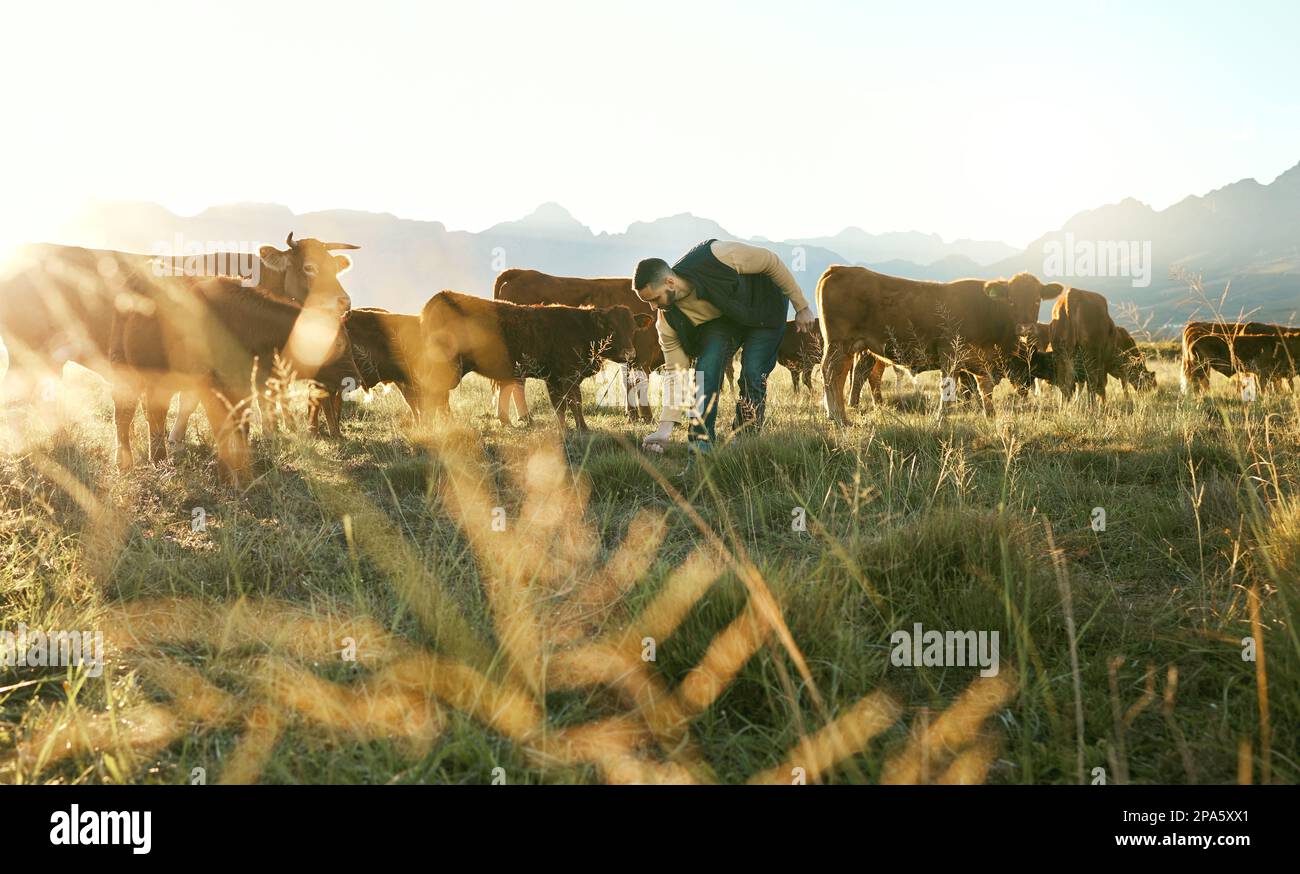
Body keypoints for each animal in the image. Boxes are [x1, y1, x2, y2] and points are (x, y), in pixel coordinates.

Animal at [109, 278, 356, 483]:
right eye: (338, 344)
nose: (354, 378)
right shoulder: (210, 387)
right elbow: (221, 428)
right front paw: (228, 478)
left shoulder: (242, 388)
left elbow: (240, 427)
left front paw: (242, 473)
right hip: (126, 373)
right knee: (124, 416)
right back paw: (126, 463)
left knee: (154, 414)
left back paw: (159, 459)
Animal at [416, 291, 639, 431]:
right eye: (612, 328)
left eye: (633, 329)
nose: (630, 353)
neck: (582, 328)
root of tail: (440, 297)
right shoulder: (561, 377)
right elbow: (569, 403)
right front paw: (574, 429)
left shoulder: (564, 378)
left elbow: (570, 403)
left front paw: (577, 428)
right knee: (435, 394)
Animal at [491, 266, 665, 418]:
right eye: (611, 329)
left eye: (633, 329)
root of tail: (521, 273)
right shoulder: (641, 358)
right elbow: (640, 385)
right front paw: (647, 417)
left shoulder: (630, 358)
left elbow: (628, 384)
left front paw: (633, 415)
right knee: (517, 386)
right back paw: (525, 418)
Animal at [821, 266, 1066, 418]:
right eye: (1011, 301)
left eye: (1037, 300)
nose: (1025, 327)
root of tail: (838, 269)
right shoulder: (950, 354)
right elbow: (948, 391)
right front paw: (941, 419)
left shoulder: (982, 363)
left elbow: (985, 392)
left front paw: (990, 416)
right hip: (838, 343)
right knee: (832, 374)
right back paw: (837, 416)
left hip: (853, 347)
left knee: (848, 376)